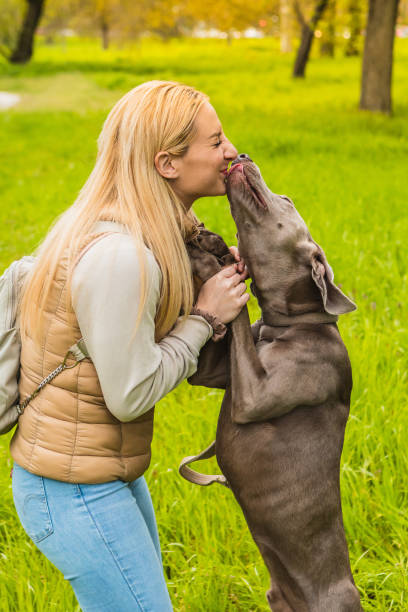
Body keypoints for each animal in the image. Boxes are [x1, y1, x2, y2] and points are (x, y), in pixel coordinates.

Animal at [183, 155, 362, 608]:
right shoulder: (210, 369)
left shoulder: (254, 396)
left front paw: (214, 263)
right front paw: (210, 247)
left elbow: (240, 310)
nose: (243, 157)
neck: (292, 326)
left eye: (288, 199)